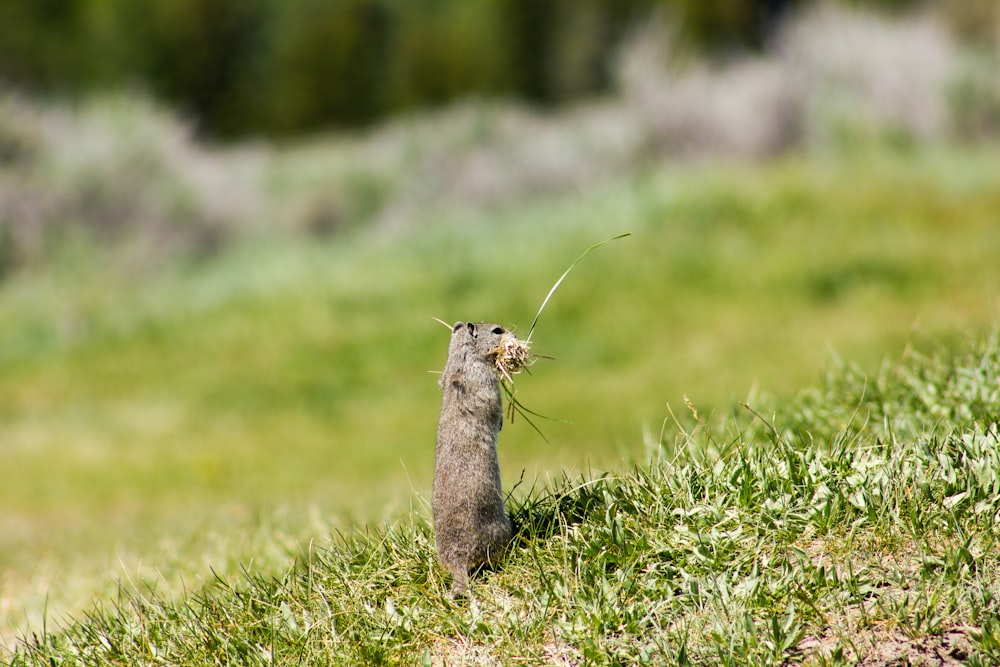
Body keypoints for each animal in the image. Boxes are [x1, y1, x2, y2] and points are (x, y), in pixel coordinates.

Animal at [434, 320, 516, 596]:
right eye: (498, 330)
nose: (513, 334)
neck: (461, 354)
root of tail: (458, 563)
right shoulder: (486, 381)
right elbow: (494, 405)